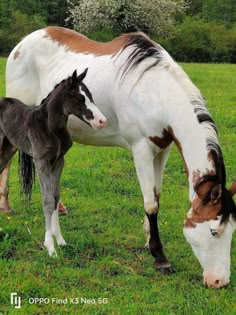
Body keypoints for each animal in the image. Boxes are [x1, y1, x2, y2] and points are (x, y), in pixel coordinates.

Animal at [0, 68, 106, 256]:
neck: (51, 128)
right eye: (80, 98)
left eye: (90, 95)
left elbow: (55, 196)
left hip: (8, 148)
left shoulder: (58, 161)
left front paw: (61, 241)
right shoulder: (41, 162)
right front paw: (50, 247)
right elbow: (48, 200)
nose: (102, 121)